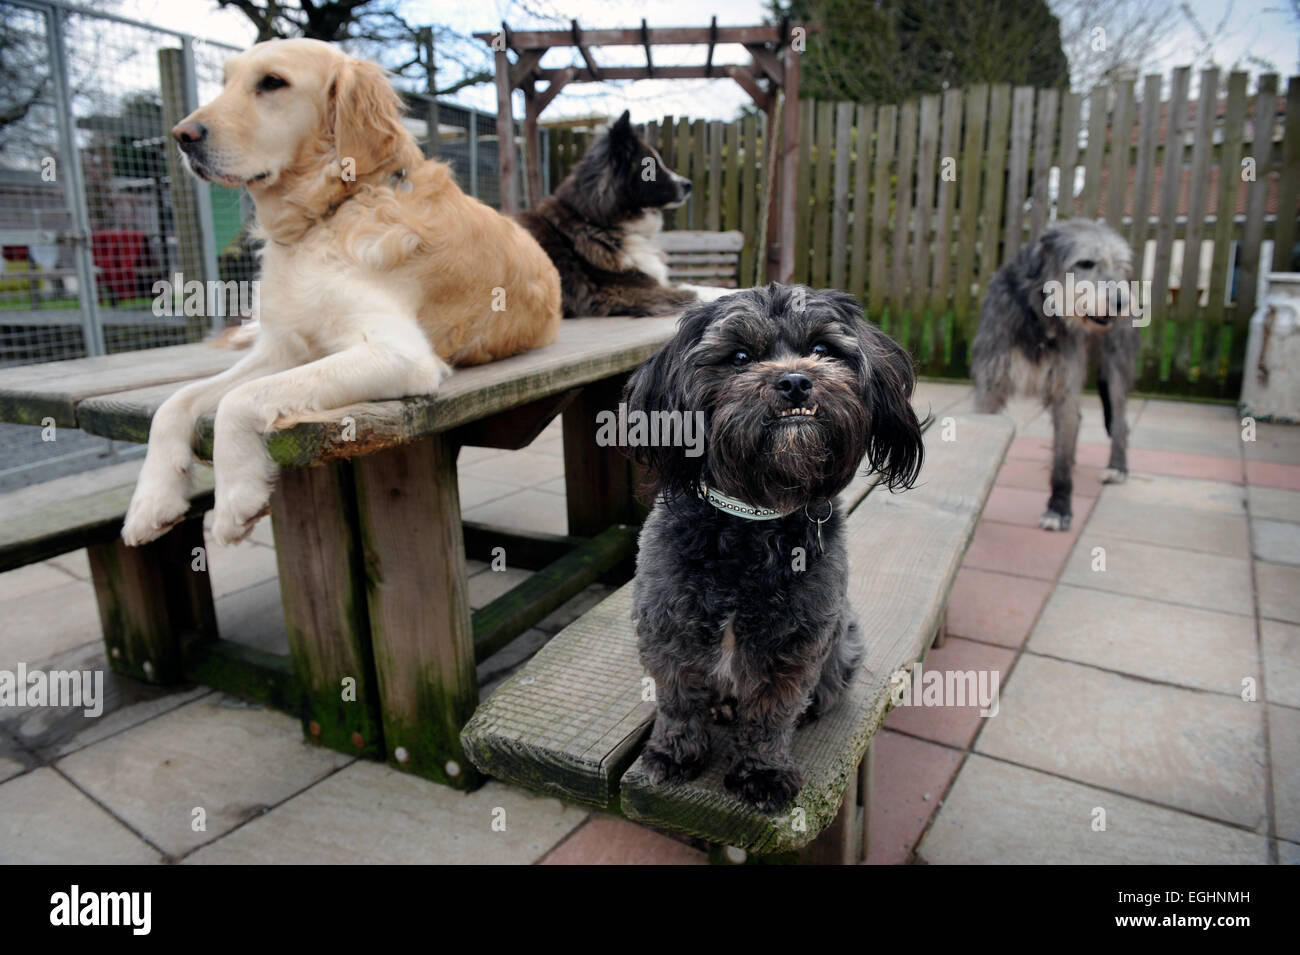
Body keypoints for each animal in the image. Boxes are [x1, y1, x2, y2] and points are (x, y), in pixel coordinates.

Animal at [621, 283, 920, 815]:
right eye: (739, 357)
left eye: (822, 348)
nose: (796, 382)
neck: (752, 518)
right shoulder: (670, 626)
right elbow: (679, 702)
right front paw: (673, 754)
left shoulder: (794, 644)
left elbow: (769, 716)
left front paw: (762, 773)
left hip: (844, 641)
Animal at [972, 220, 1144, 535]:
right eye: (1085, 262)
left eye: (1121, 266)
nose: (1122, 302)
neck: (1042, 318)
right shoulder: (988, 388)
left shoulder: (1065, 386)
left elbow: (1061, 463)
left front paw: (1059, 508)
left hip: (1115, 363)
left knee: (1119, 420)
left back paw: (1117, 466)